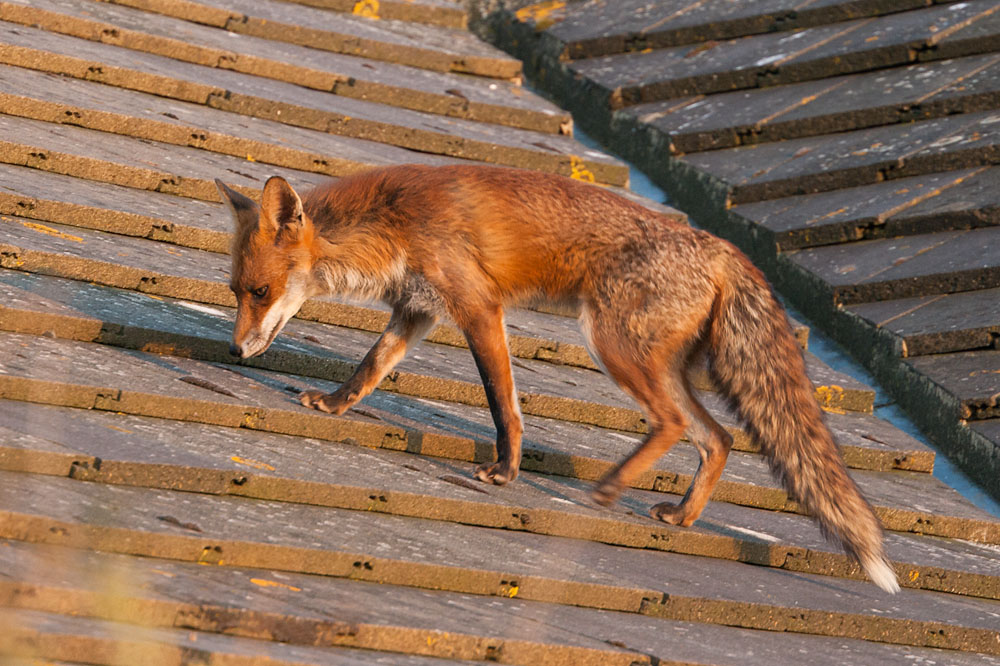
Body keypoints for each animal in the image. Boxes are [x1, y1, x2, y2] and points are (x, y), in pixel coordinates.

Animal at [216, 164, 900, 593]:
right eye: (235, 291)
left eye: (260, 292)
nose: (236, 349)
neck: (393, 221)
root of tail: (725, 247)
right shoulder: (417, 310)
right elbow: (369, 367)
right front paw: (335, 405)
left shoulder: (478, 308)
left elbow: (504, 403)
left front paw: (506, 470)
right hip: (658, 363)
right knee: (719, 438)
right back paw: (682, 517)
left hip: (613, 345)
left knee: (675, 424)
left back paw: (609, 489)